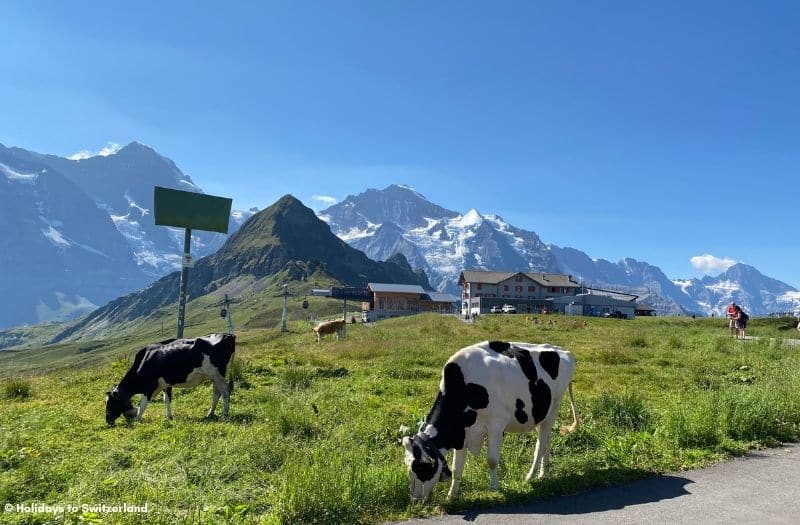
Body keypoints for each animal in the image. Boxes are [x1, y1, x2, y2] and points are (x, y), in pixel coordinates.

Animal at [104, 334, 234, 424]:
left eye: (110, 403)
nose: (107, 421)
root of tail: (228, 335)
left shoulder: (149, 387)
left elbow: (143, 404)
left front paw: (137, 420)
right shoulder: (165, 384)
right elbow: (166, 400)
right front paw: (169, 416)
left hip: (218, 374)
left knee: (225, 391)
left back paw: (225, 414)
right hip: (214, 377)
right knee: (216, 394)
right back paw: (210, 413)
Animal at [404, 340, 580, 500]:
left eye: (421, 468)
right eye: (409, 468)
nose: (415, 499)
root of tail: (563, 350)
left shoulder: (496, 425)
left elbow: (492, 460)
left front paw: (494, 487)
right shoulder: (462, 432)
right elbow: (456, 469)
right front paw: (451, 495)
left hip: (554, 406)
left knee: (541, 444)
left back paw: (531, 476)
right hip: (542, 414)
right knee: (547, 440)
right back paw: (544, 473)